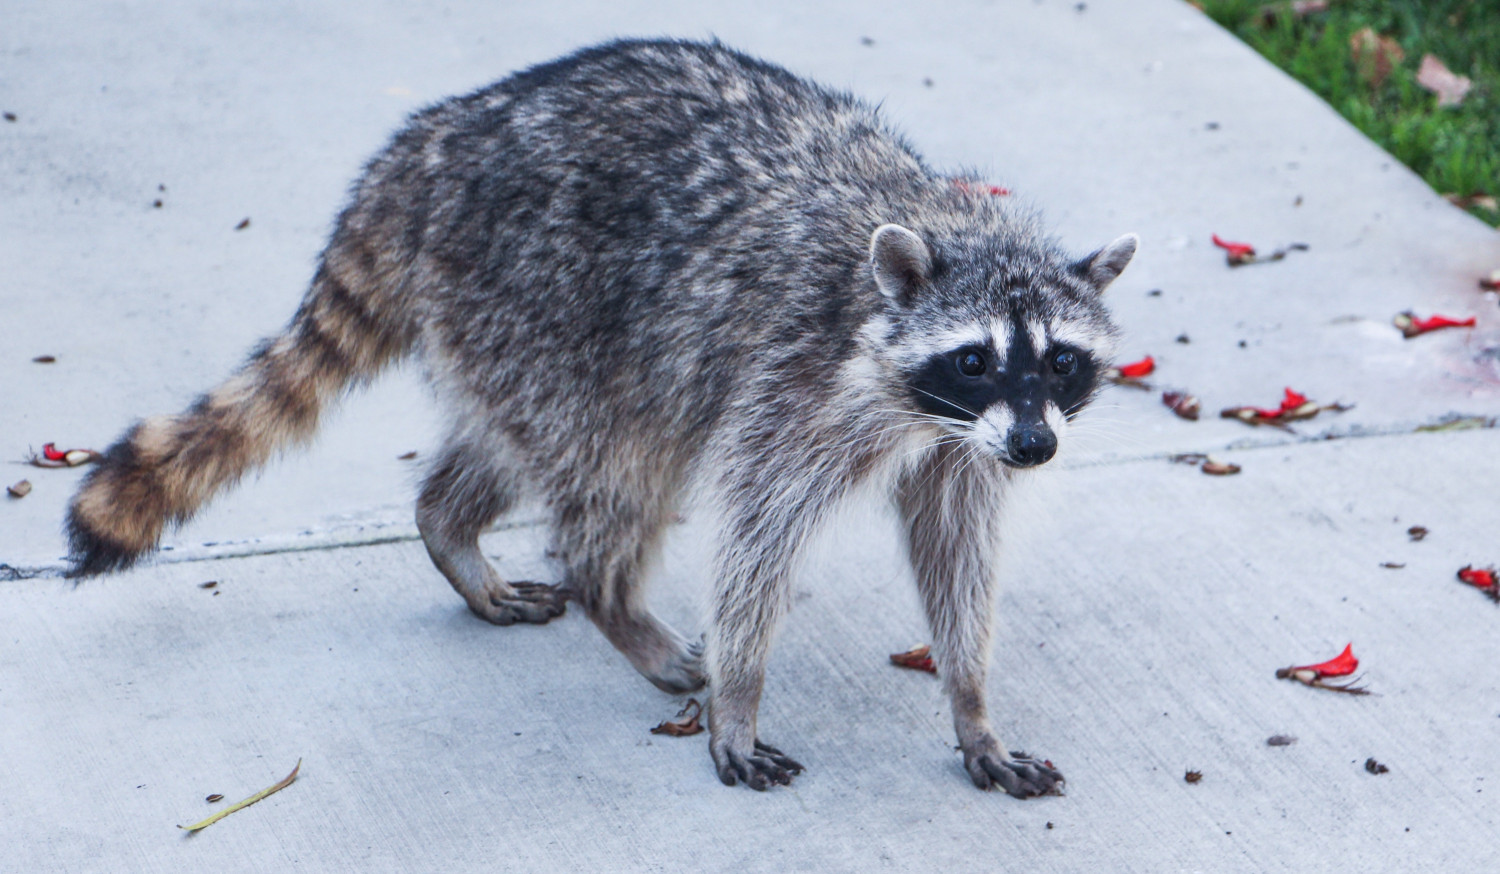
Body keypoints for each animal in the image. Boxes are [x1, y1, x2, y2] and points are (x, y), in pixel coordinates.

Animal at [64, 37, 1128, 797]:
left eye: (1062, 362)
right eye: (976, 357)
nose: (1037, 445)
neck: (953, 229)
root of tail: (434, 142)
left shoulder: (959, 443)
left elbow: (956, 547)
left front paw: (971, 699)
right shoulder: (798, 383)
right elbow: (757, 533)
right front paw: (742, 693)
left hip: (520, 332)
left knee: (511, 444)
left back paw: (449, 525)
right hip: (540, 302)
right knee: (617, 470)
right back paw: (616, 604)